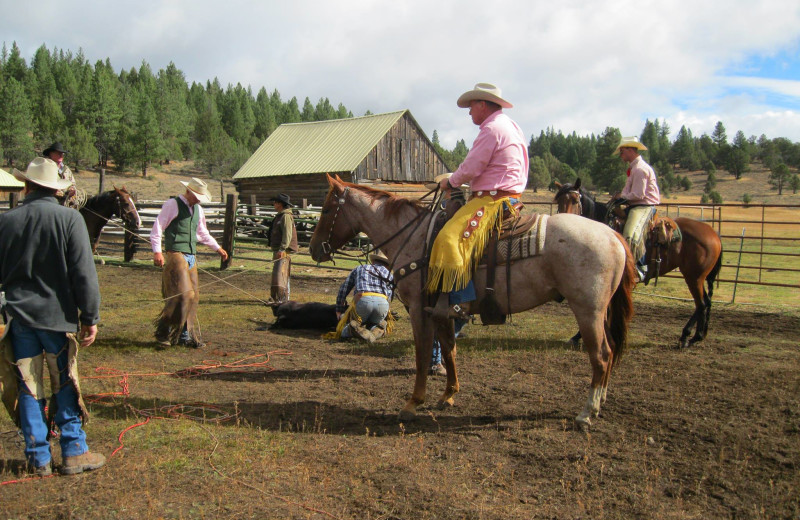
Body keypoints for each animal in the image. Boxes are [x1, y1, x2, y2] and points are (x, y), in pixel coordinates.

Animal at [310, 175, 636, 430]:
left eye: (325, 208)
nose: (314, 249)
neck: (415, 237)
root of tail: (613, 234)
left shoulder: (419, 311)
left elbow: (422, 355)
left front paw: (413, 403)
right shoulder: (441, 312)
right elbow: (449, 350)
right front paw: (448, 395)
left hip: (588, 310)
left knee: (602, 355)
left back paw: (587, 412)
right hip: (599, 312)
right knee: (608, 352)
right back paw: (600, 401)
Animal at [556, 179, 724, 350]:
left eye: (575, 200)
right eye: (558, 200)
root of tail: (713, 232)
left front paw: (581, 336)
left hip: (694, 277)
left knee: (701, 303)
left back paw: (687, 337)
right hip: (697, 277)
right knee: (706, 302)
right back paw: (698, 336)